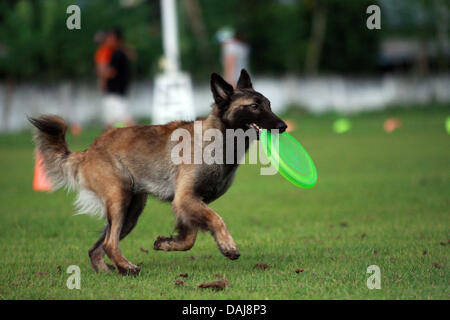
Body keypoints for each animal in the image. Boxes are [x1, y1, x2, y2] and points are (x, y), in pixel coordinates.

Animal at [29, 70, 286, 276]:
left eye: (269, 104)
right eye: (254, 106)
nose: (283, 126)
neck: (217, 140)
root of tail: (88, 150)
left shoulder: (190, 202)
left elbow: (190, 238)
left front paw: (167, 244)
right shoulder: (186, 198)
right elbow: (216, 219)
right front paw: (228, 246)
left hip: (131, 212)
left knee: (97, 248)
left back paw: (111, 271)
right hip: (120, 200)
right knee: (110, 243)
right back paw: (127, 268)